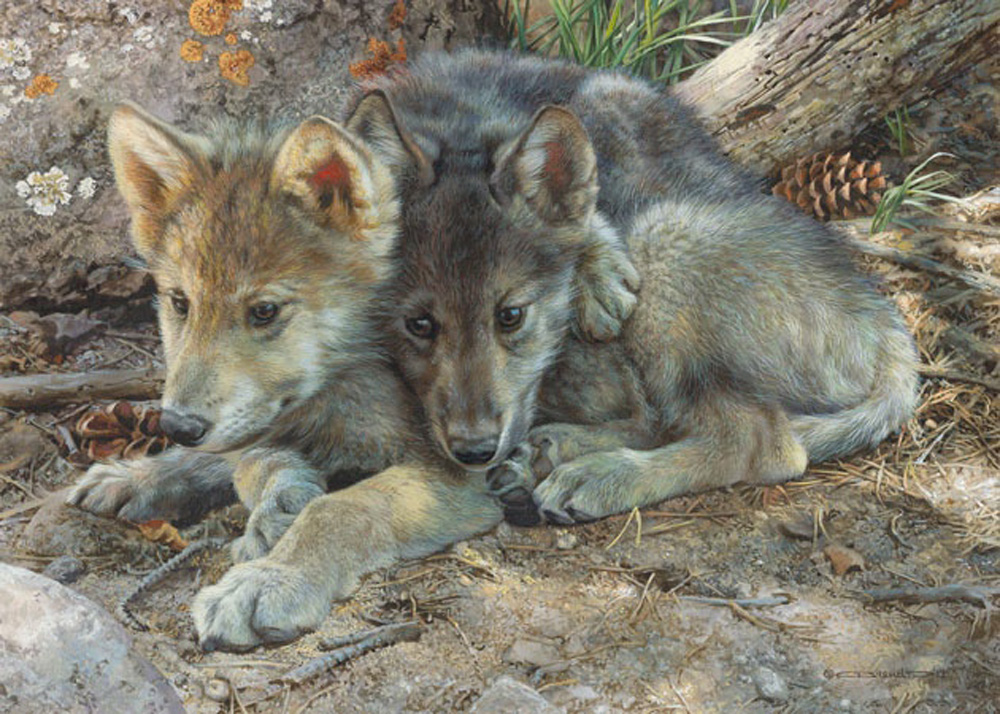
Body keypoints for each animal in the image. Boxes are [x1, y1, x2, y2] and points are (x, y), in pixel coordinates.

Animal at [65, 96, 637, 650]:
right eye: (180, 303)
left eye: (264, 311)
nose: (178, 425)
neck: (343, 379)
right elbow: (242, 460)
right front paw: (154, 476)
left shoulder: (448, 474)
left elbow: (340, 509)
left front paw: (267, 579)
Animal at [352, 50, 919, 524]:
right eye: (418, 325)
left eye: (511, 316)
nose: (474, 451)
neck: (461, 116)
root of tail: (879, 315)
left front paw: (598, 268)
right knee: (667, 421)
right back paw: (549, 451)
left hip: (662, 241)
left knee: (760, 442)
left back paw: (599, 476)